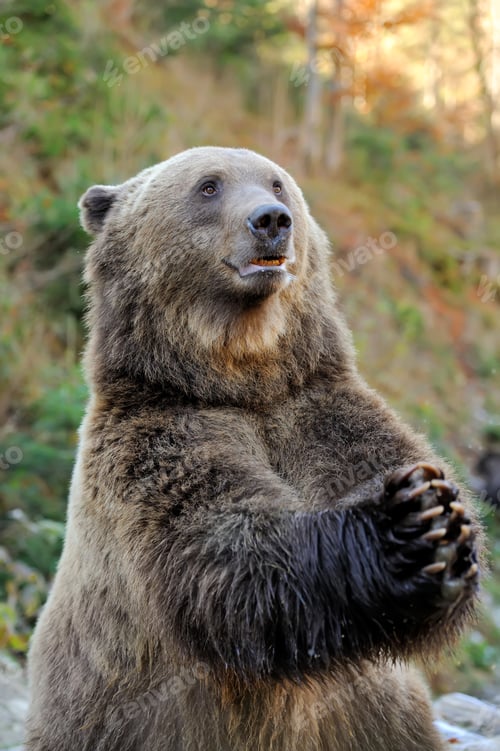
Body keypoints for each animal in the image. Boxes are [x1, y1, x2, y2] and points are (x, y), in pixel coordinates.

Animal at [26, 147, 481, 751]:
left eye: (277, 183)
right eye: (208, 186)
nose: (270, 220)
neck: (242, 375)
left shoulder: (317, 411)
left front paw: (442, 517)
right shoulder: (158, 442)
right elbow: (232, 552)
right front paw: (406, 524)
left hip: (382, 719)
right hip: (104, 718)